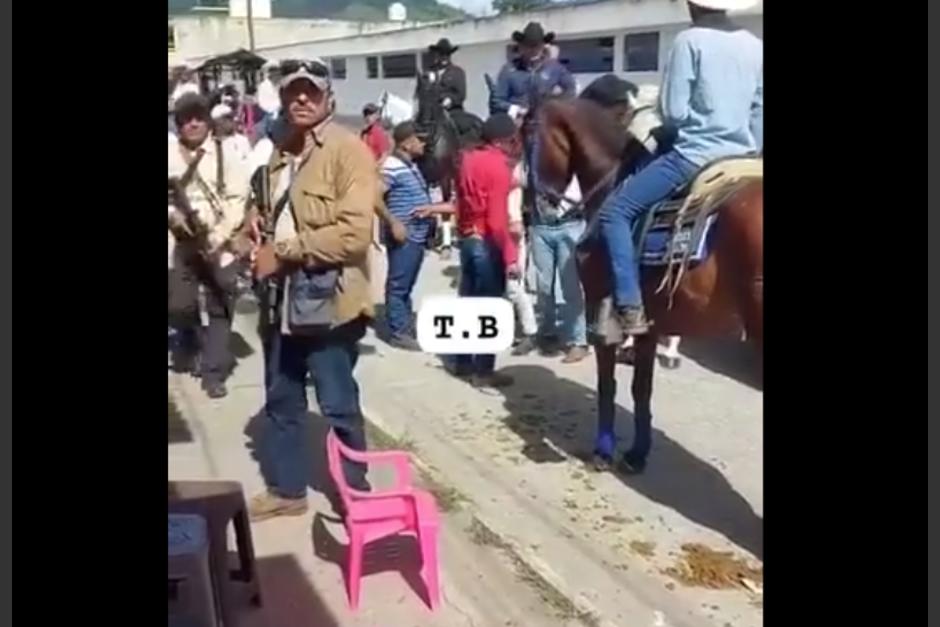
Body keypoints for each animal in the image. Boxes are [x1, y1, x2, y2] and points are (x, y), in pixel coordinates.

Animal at [532, 97, 760, 472]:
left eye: (527, 135)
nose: (538, 204)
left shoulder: (599, 310)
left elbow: (607, 385)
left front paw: (603, 451)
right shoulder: (649, 323)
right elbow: (641, 389)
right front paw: (637, 454)